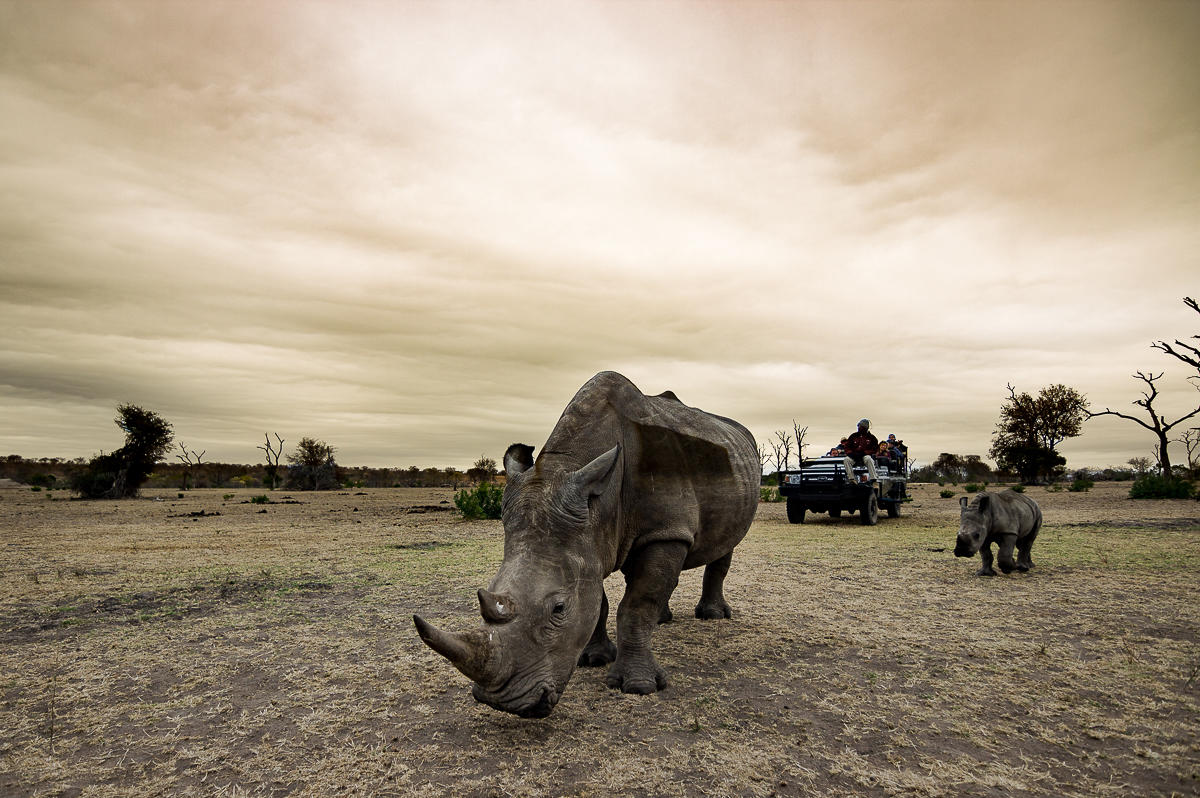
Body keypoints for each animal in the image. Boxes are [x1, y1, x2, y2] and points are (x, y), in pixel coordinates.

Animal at [413, 371, 759, 717]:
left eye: (559, 609)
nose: (502, 703)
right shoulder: (587, 541)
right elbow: (599, 599)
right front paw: (593, 659)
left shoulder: (665, 529)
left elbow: (637, 604)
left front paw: (639, 687)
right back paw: (664, 619)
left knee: (723, 546)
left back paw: (712, 616)